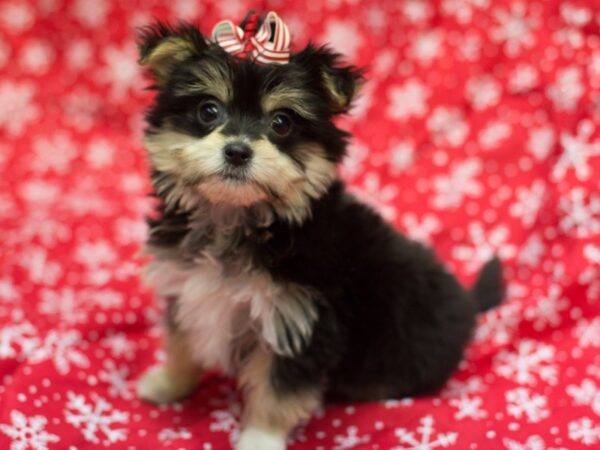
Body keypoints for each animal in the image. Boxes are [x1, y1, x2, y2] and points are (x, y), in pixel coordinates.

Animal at [135, 13, 502, 450]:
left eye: (281, 122)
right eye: (209, 110)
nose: (238, 151)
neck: (237, 218)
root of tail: (466, 303)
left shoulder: (301, 322)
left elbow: (277, 390)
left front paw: (259, 439)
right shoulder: (186, 288)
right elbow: (182, 344)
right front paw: (167, 384)